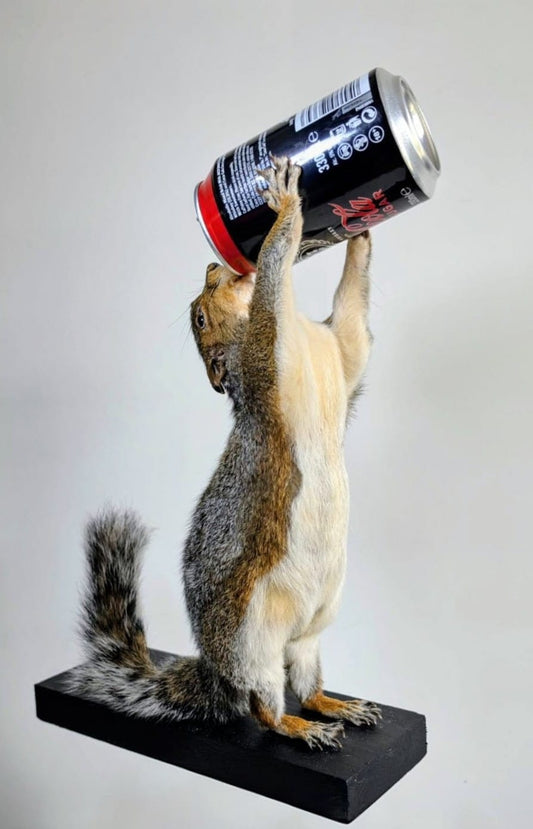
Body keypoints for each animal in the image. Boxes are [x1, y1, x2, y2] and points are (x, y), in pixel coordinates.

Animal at [70, 156, 381, 749]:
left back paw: (336, 706)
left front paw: (359, 231)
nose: (214, 264)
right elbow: (277, 268)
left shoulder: (340, 353)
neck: (299, 331)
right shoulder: (264, 350)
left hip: (311, 631)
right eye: (198, 318)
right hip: (250, 636)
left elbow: (352, 315)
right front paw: (286, 205)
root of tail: (217, 671)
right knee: (263, 704)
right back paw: (298, 727)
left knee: (304, 681)